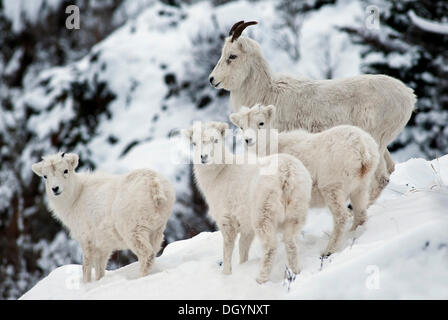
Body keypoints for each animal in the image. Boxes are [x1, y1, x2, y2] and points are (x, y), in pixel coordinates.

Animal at [31, 152, 174, 282]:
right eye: (45, 176)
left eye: (65, 170)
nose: (55, 189)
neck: (76, 197)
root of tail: (154, 184)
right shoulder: (103, 246)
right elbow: (100, 270)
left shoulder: (86, 241)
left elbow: (86, 267)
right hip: (156, 230)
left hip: (133, 232)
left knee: (146, 255)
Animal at [182, 120, 312, 282]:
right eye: (194, 143)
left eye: (216, 140)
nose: (203, 157)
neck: (220, 172)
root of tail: (287, 174)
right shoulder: (246, 225)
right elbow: (243, 247)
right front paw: (242, 265)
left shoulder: (227, 219)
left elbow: (228, 248)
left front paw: (226, 273)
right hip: (297, 210)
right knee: (291, 242)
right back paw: (295, 272)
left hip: (264, 213)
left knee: (270, 247)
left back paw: (261, 279)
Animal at [208, 20, 414, 205]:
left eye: (232, 56)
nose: (212, 79)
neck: (267, 92)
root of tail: (409, 96)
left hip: (376, 142)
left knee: (380, 179)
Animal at [229, 104, 380, 255]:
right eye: (241, 126)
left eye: (261, 123)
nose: (248, 140)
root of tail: (362, 148)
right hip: (360, 187)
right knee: (360, 214)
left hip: (332, 187)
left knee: (341, 217)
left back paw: (328, 250)